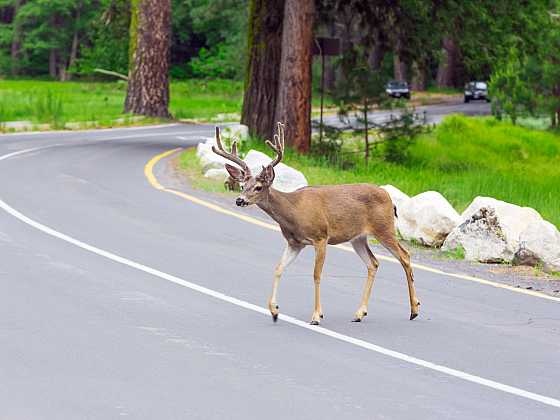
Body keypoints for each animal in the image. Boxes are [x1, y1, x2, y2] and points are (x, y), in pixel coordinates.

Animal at [212, 121, 418, 324]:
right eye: (242, 185)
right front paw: (274, 310)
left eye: (258, 187)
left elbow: (316, 275)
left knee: (405, 256)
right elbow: (278, 268)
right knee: (373, 263)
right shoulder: (295, 243)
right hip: (358, 237)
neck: (294, 212)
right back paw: (360, 313)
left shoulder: (321, 237)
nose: (239, 200)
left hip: (384, 228)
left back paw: (414, 310)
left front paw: (317, 315)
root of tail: (389, 198)